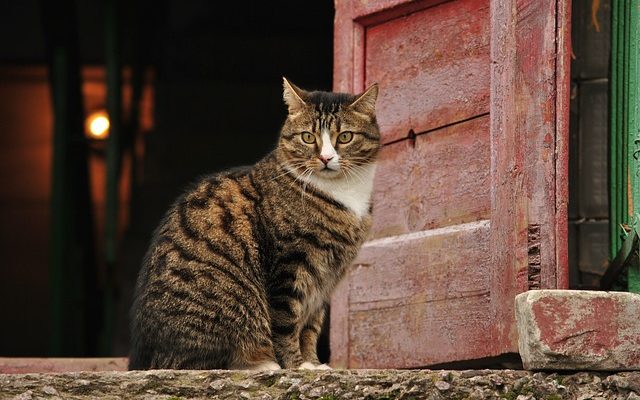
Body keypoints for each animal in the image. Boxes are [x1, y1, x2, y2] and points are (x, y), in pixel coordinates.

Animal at [129, 79, 380, 372]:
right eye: (308, 137)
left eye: (345, 137)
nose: (326, 158)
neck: (344, 193)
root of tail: (147, 360)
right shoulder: (289, 264)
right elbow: (286, 324)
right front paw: (297, 366)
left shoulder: (323, 282)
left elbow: (310, 327)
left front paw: (313, 362)